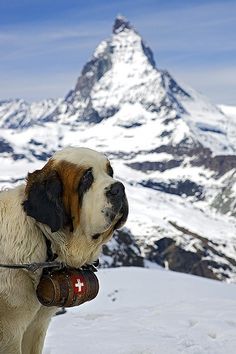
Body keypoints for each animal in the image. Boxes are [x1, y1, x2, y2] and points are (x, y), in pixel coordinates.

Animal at [0, 146, 127, 354]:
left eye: (110, 172)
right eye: (86, 179)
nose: (119, 188)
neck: (45, 240)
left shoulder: (36, 326)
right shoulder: (10, 331)